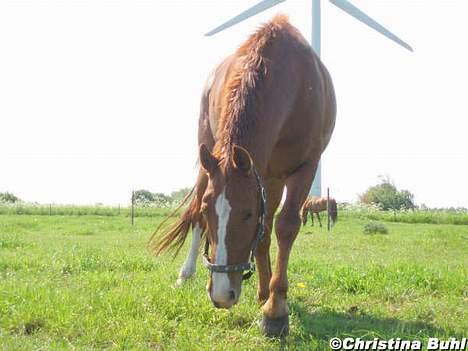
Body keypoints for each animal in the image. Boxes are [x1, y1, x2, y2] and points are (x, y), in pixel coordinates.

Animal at [151, 14, 336, 338]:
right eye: (209, 212)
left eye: (248, 214)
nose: (222, 294)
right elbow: (205, 219)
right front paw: (271, 303)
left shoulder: (305, 167)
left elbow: (285, 226)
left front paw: (275, 311)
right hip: (211, 157)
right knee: (197, 219)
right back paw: (187, 274)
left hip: (272, 179)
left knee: (270, 228)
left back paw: (265, 293)